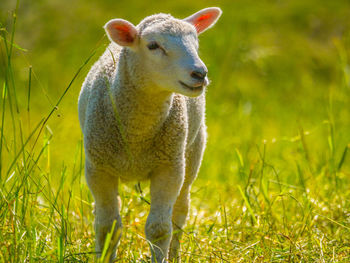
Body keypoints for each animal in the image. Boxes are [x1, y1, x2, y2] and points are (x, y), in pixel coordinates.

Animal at [78, 7, 223, 262]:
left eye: (196, 42)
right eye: (153, 45)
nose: (200, 73)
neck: (137, 134)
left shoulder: (169, 167)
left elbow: (159, 229)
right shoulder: (98, 168)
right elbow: (107, 227)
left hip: (192, 153)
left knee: (179, 213)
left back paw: (174, 255)